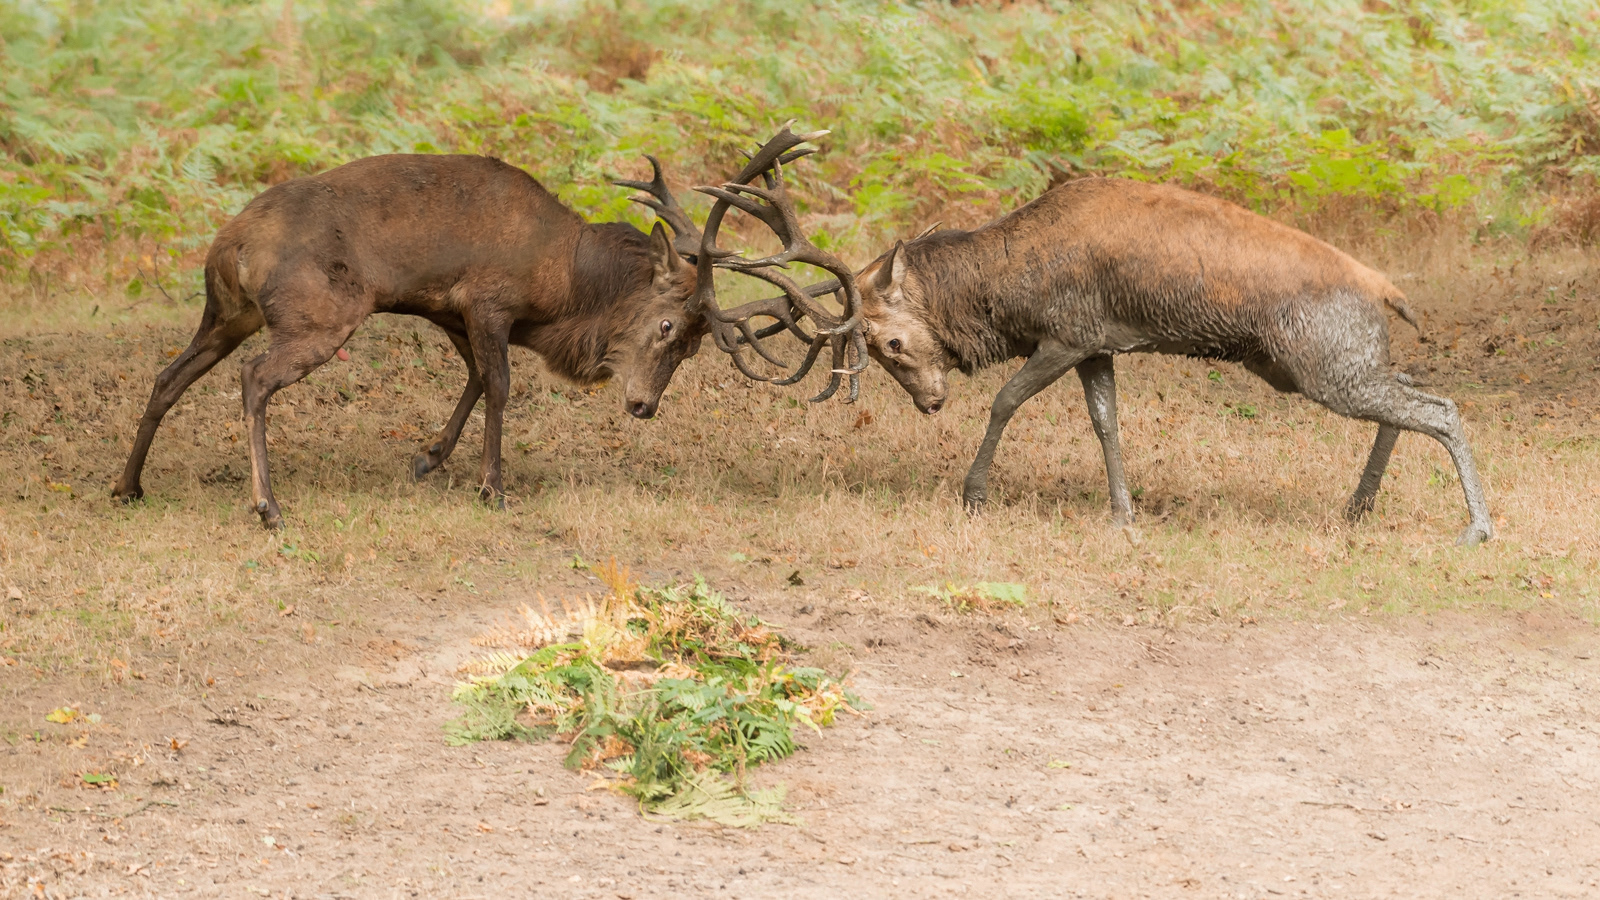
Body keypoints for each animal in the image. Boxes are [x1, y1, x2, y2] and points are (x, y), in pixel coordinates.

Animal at [112, 128, 863, 530]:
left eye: (695, 347)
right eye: (667, 325)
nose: (643, 405)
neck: (562, 285)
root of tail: (230, 245)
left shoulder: (447, 308)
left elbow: (474, 376)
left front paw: (428, 458)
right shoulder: (488, 298)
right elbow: (500, 386)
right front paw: (492, 486)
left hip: (225, 312)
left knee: (168, 375)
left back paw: (128, 486)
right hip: (316, 312)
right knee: (254, 377)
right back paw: (267, 506)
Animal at [847, 177, 1493, 546]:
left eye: (890, 344)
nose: (930, 402)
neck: (1003, 295)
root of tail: (1388, 292)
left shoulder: (1064, 335)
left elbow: (1005, 401)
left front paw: (974, 495)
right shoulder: (1097, 345)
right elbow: (1106, 422)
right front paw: (1123, 514)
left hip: (1325, 365)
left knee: (1440, 407)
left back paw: (1477, 528)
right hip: (1320, 365)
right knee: (1409, 386)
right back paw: (1359, 507)